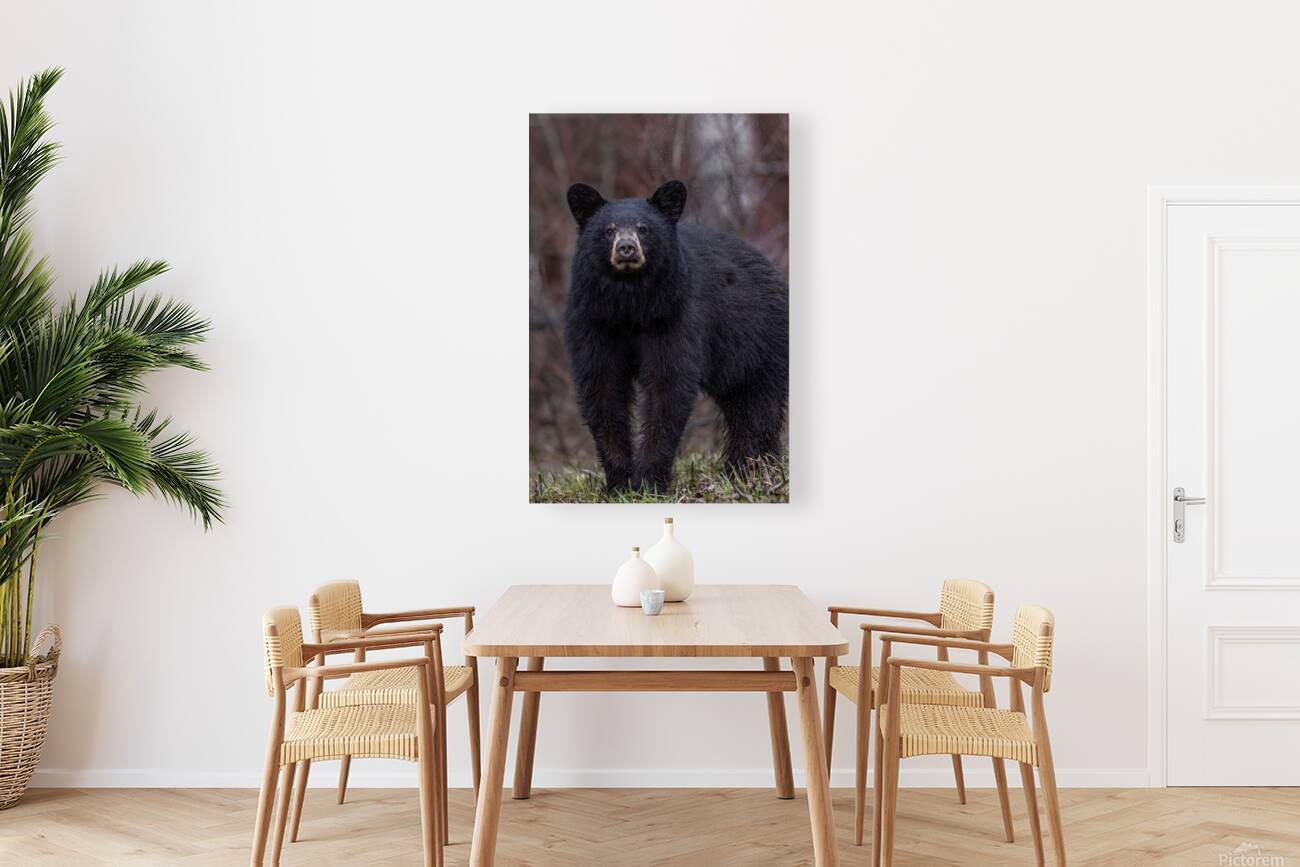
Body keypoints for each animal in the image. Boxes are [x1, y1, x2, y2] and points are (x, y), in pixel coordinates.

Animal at [563, 179, 789, 494]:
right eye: (608, 230)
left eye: (643, 229)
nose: (626, 249)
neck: (630, 301)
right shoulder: (595, 320)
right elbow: (602, 386)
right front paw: (620, 482)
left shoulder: (674, 314)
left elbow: (667, 384)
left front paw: (649, 480)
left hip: (758, 340)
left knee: (757, 403)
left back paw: (751, 468)